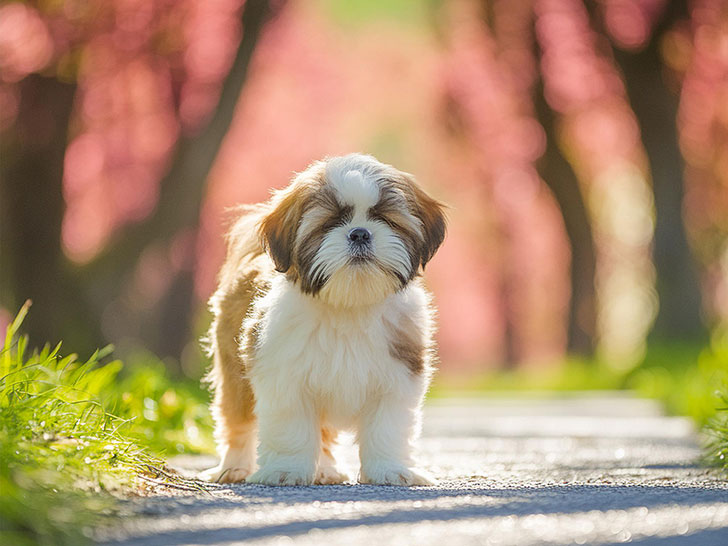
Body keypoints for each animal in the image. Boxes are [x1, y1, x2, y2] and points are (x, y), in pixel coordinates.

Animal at [202, 153, 446, 484]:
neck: (348, 305)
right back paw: (234, 466)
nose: (360, 233)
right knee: (238, 419)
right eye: (330, 223)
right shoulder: (284, 377)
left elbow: (387, 429)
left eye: (384, 219)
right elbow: (291, 428)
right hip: (233, 371)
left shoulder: (397, 376)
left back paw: (326, 469)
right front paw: (287, 470)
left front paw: (390, 470)